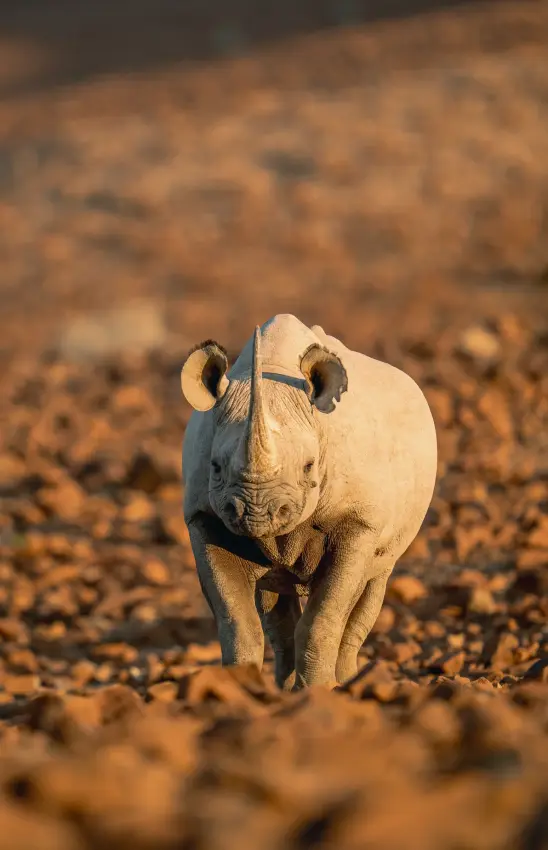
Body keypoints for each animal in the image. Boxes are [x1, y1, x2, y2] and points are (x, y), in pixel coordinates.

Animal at [181, 314, 437, 690]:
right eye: (215, 467)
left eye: (309, 466)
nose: (257, 514)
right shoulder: (205, 518)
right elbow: (237, 621)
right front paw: (241, 690)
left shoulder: (358, 521)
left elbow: (323, 617)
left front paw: (320, 691)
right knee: (274, 600)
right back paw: (284, 688)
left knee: (373, 584)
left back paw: (349, 683)